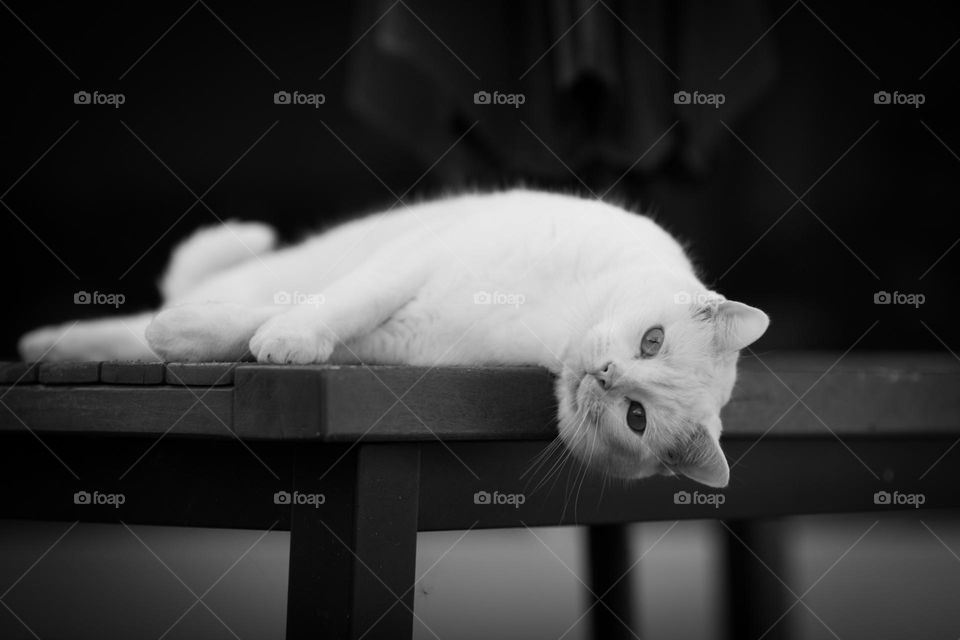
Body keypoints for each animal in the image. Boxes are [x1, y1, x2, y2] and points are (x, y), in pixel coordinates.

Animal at [20, 188, 772, 488]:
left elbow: (315, 329)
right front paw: (263, 334)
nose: (606, 375)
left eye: (636, 418)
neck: (552, 324)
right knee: (185, 295)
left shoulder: (406, 339)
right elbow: (337, 303)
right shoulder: (416, 260)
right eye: (652, 341)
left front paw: (264, 342)